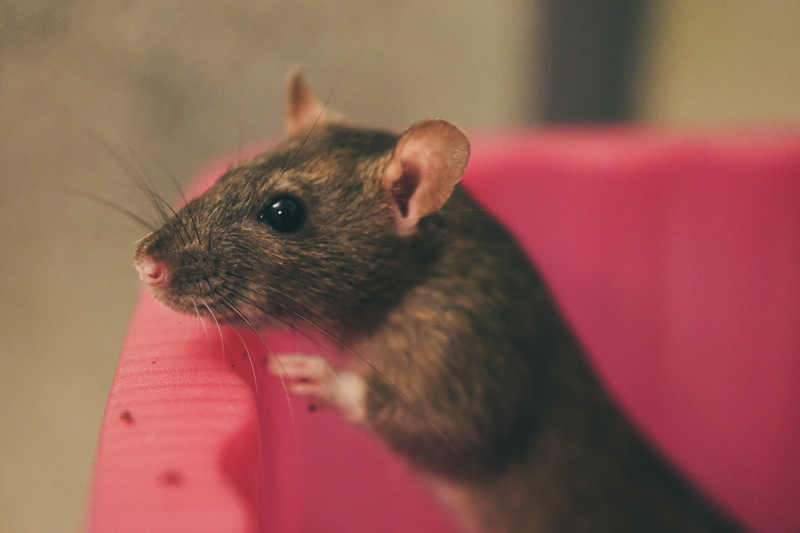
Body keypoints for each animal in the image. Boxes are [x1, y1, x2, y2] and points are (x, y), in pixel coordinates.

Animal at [134, 71, 745, 533]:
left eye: (283, 213)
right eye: (232, 172)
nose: (145, 262)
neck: (422, 261)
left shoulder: (463, 336)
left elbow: (455, 428)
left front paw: (322, 376)